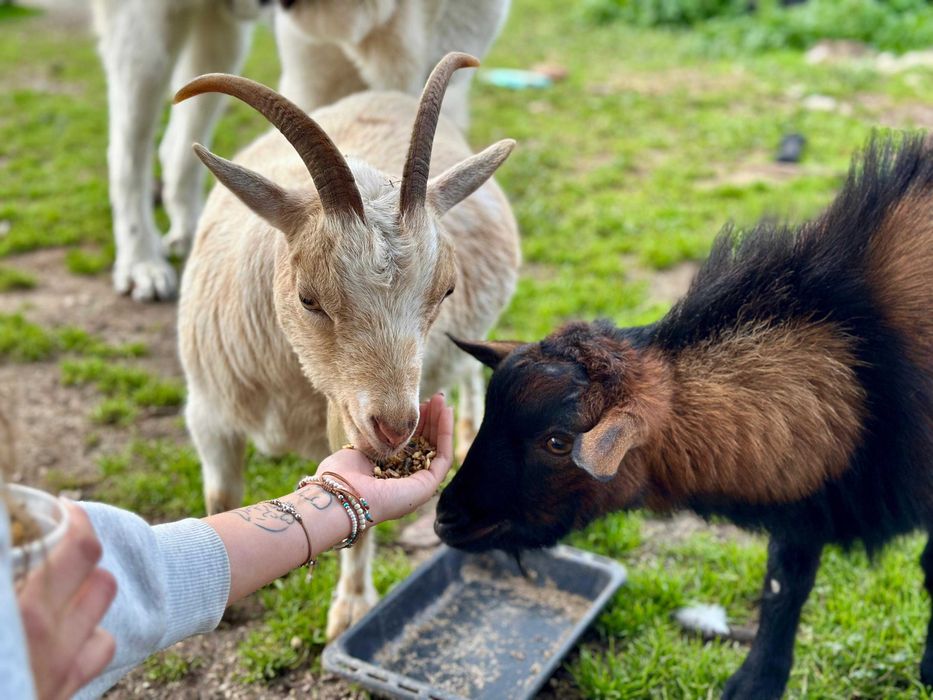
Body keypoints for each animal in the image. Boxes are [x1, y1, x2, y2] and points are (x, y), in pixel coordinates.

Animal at [174, 53, 520, 638]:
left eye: (445, 290)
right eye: (308, 297)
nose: (396, 428)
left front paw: (352, 608)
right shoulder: (209, 412)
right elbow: (221, 496)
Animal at [436, 136, 933, 699]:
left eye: (559, 442)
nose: (446, 517)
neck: (868, 357)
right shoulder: (807, 501)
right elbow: (784, 582)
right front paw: (755, 682)